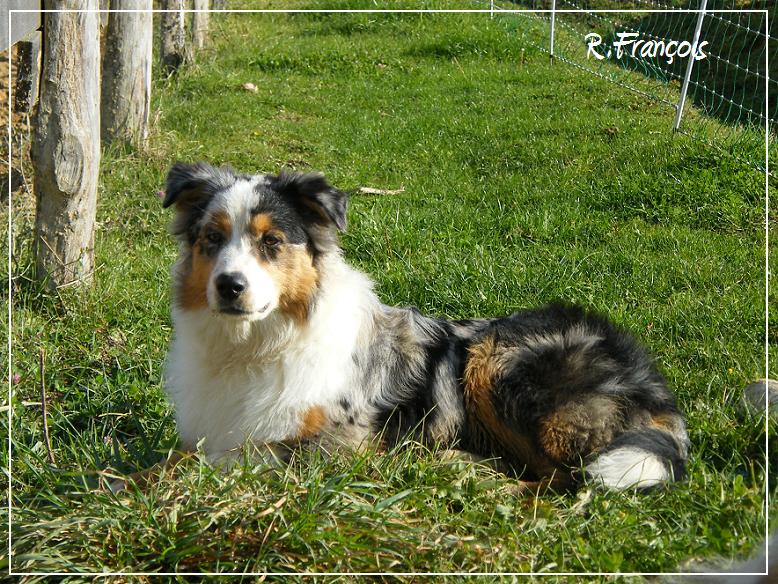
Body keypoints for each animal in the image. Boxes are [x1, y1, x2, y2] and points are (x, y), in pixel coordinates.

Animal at [154, 161, 690, 492]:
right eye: (212, 238)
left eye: (272, 242)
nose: (229, 286)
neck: (255, 346)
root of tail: (648, 375)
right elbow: (180, 458)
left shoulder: (342, 446)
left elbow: (214, 461)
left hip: (496, 359)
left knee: (566, 479)